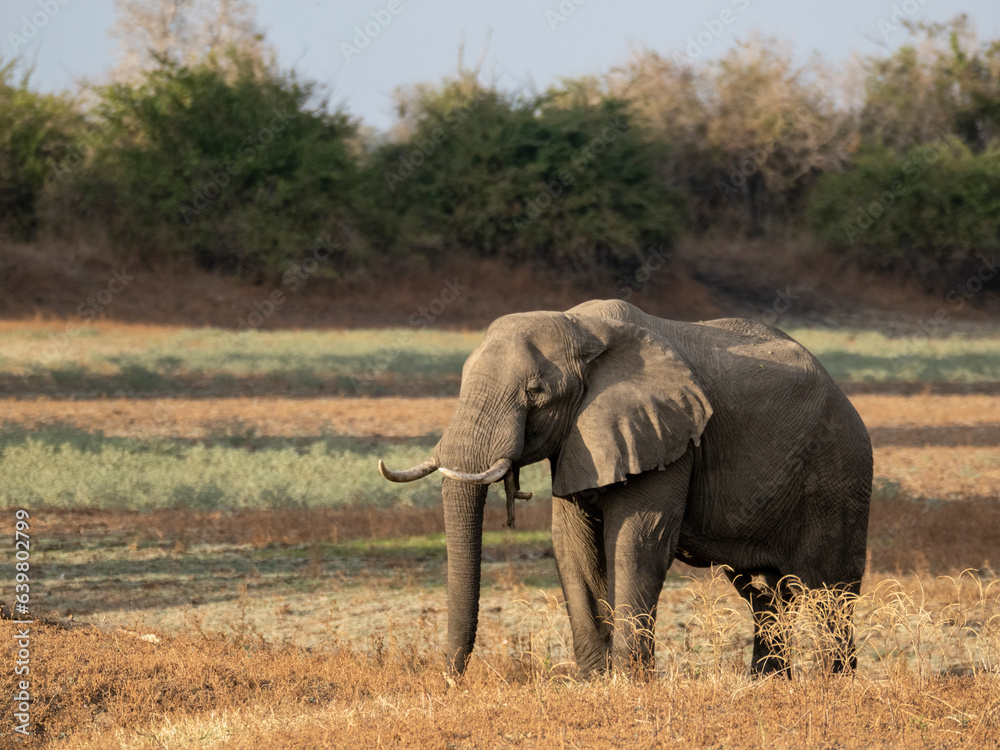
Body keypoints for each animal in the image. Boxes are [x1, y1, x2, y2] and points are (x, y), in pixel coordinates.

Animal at [379, 299, 872, 677]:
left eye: (536, 393)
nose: (451, 679)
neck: (584, 328)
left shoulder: (670, 439)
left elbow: (638, 541)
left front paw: (630, 682)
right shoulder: (580, 441)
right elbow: (573, 545)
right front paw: (596, 680)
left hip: (839, 474)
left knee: (830, 592)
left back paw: (831, 686)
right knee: (765, 595)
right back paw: (767, 686)